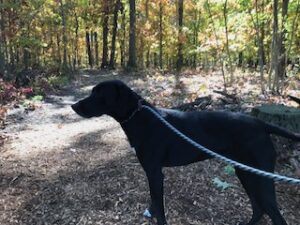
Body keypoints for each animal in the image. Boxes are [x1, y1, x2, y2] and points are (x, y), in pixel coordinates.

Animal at [71, 79, 298, 225]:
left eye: (99, 94)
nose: (73, 106)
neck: (140, 118)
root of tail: (261, 124)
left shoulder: (155, 172)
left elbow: (160, 206)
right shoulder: (152, 173)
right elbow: (154, 201)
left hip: (260, 178)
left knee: (275, 216)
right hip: (246, 173)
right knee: (259, 210)